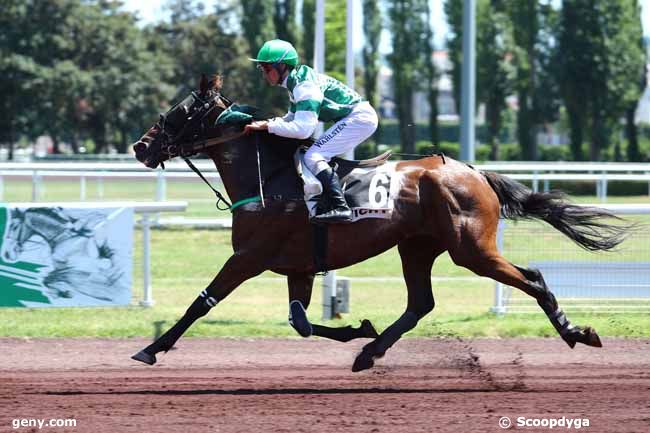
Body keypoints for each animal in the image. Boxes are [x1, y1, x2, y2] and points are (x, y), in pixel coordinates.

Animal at [130, 75, 628, 372]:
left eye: (180, 112)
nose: (140, 146)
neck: (269, 178)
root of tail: (473, 171)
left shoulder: (249, 257)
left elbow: (202, 303)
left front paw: (150, 349)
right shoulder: (298, 265)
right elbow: (300, 321)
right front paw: (360, 330)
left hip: (472, 249)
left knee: (533, 277)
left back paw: (576, 333)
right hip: (418, 246)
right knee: (421, 303)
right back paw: (370, 352)